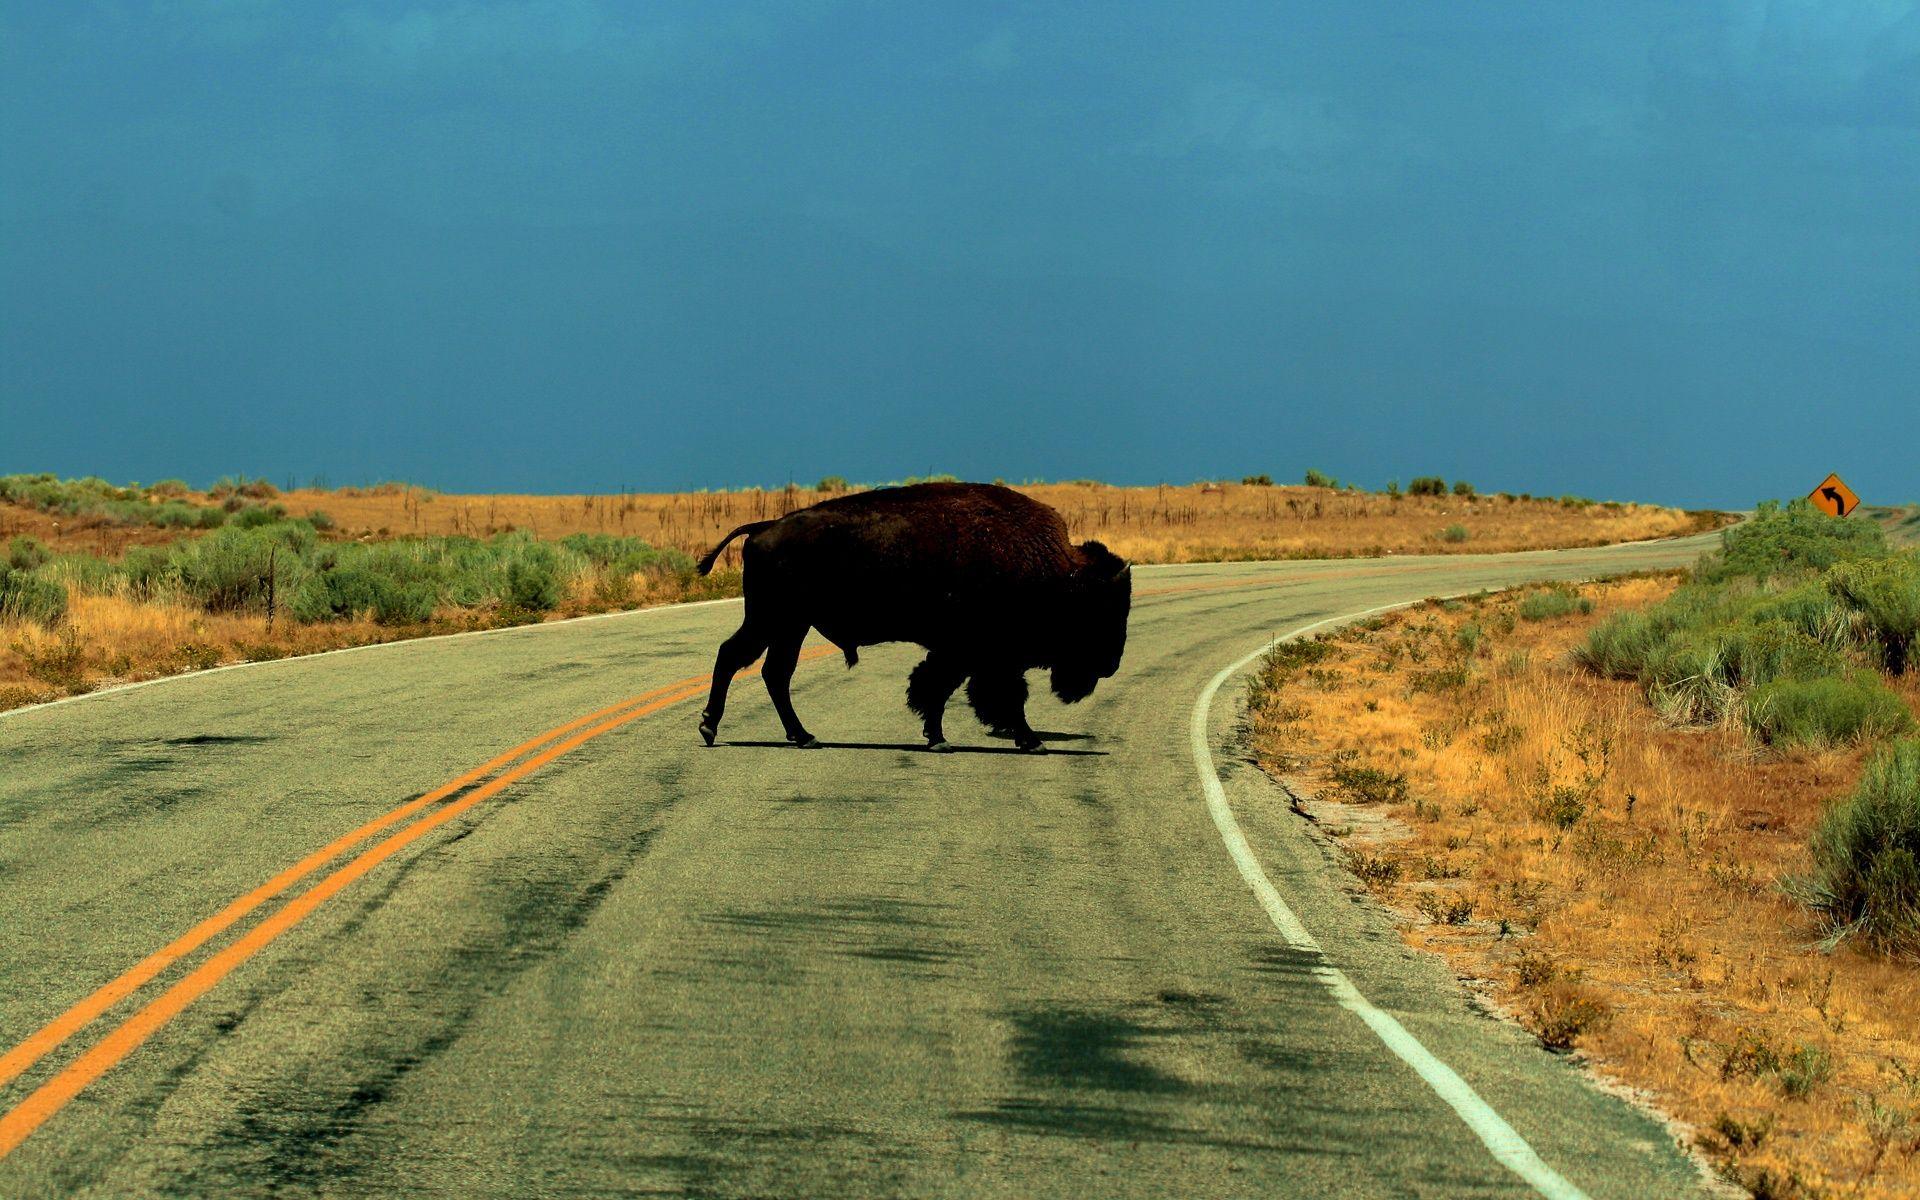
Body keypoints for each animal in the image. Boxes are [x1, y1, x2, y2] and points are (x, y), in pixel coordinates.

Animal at [693, 482, 1131, 751]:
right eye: (1100, 610)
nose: (1110, 665)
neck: (1056, 575)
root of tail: (765, 527)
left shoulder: (964, 654)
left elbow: (940, 688)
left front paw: (938, 737)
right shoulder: (982, 655)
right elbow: (991, 694)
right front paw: (1029, 740)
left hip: (791, 626)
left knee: (773, 672)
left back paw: (803, 736)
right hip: (773, 619)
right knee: (736, 657)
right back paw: (711, 727)